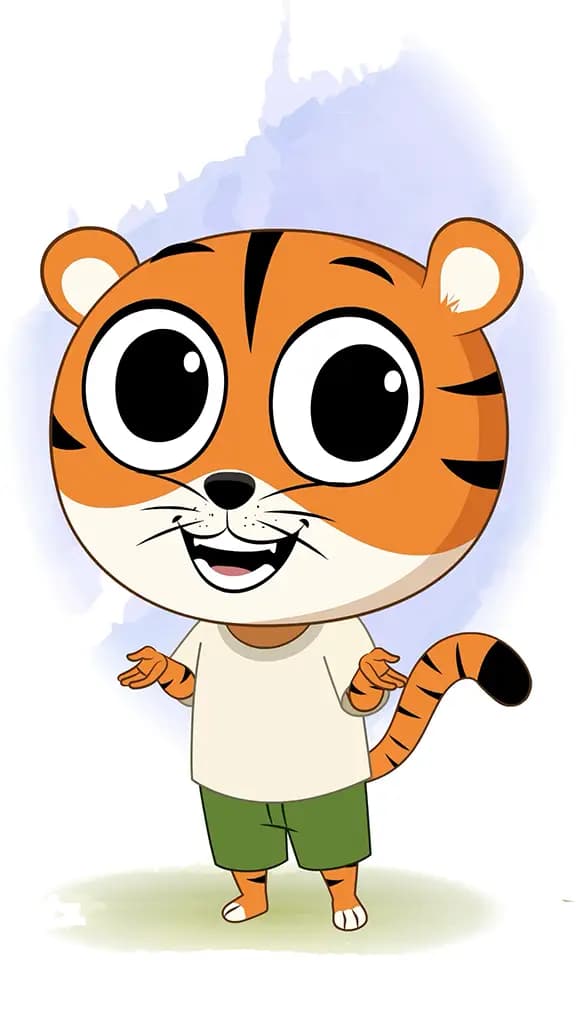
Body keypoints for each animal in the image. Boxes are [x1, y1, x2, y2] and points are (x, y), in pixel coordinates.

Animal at [41, 219, 531, 932]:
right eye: (154, 380)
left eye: (361, 394)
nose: (227, 486)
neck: (267, 627)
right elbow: (188, 684)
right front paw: (156, 668)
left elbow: (359, 694)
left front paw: (373, 678)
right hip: (237, 815)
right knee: (247, 851)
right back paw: (247, 902)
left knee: (334, 853)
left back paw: (346, 906)